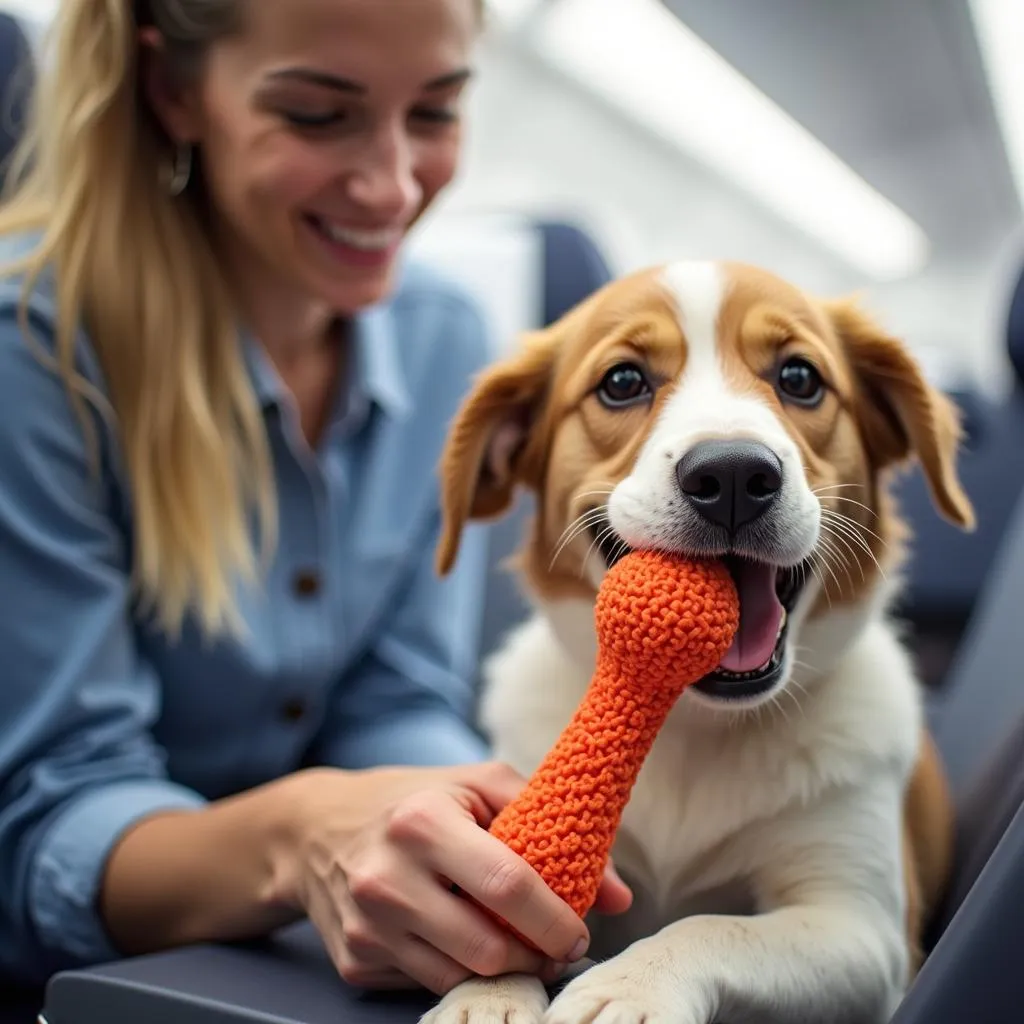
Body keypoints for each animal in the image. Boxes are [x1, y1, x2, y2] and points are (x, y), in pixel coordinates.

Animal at [423, 262, 974, 1024]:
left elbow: (708, 926)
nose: (735, 474)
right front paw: (486, 991)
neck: (686, 722)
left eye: (799, 377)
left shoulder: (861, 928)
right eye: (623, 381)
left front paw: (630, 987)